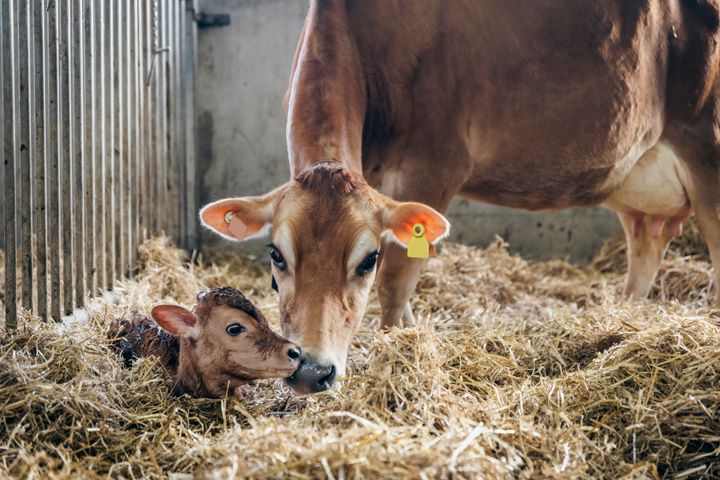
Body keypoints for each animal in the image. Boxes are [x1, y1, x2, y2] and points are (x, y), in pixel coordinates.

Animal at [200, 0, 720, 394]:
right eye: (276, 255)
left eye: (366, 260)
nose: (311, 370)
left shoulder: (431, 167)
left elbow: (396, 286)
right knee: (646, 249)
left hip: (705, 148)